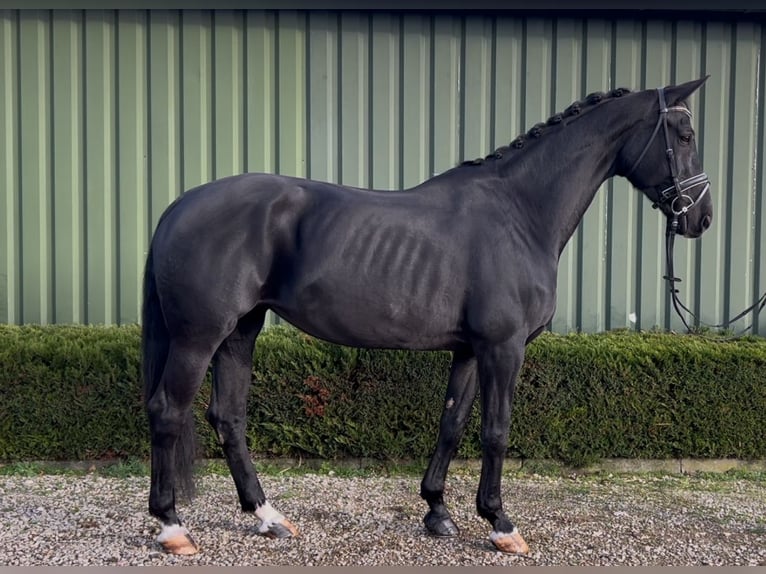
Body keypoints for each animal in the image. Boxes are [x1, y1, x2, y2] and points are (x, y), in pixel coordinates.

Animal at [142, 77, 712, 560]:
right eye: (684, 134)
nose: (701, 218)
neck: (520, 214)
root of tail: (180, 205)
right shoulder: (504, 348)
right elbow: (495, 430)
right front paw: (501, 525)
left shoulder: (470, 349)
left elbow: (452, 424)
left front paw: (437, 511)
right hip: (199, 337)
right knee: (169, 411)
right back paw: (172, 527)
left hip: (241, 331)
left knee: (228, 418)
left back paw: (268, 517)